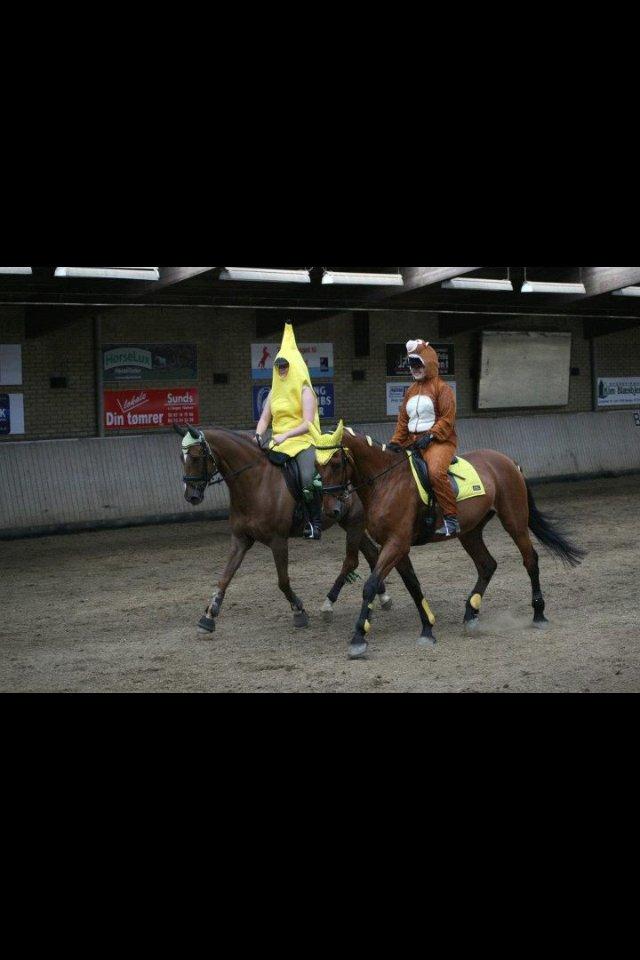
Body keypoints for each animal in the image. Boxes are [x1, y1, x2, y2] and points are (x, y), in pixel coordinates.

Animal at [174, 424, 390, 632]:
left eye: (195, 457)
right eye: (181, 458)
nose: (191, 496)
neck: (256, 482)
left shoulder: (278, 541)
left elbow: (283, 581)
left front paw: (299, 611)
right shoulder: (240, 539)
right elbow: (225, 577)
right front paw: (209, 616)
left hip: (354, 523)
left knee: (352, 561)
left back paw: (329, 603)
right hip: (347, 522)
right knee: (371, 553)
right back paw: (383, 598)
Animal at [316, 428, 584, 660]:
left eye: (336, 463)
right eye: (318, 466)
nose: (331, 510)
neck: (387, 481)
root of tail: (508, 461)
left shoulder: (396, 544)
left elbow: (370, 585)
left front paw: (358, 638)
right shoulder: (396, 546)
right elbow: (413, 585)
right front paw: (427, 628)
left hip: (515, 522)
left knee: (530, 560)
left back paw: (539, 614)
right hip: (470, 532)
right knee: (487, 565)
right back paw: (471, 613)